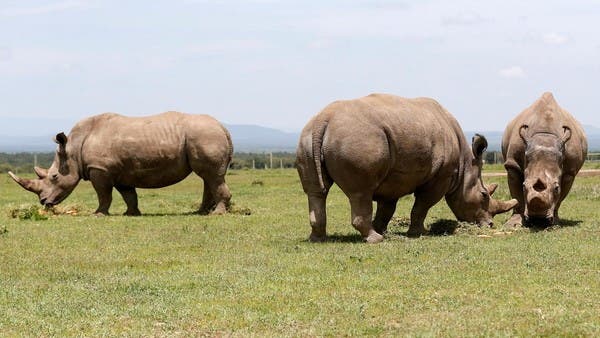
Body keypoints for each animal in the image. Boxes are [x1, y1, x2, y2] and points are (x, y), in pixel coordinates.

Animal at [10, 112, 234, 215]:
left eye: (54, 176)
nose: (43, 202)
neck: (73, 148)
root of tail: (223, 128)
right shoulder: (118, 172)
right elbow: (128, 195)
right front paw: (131, 214)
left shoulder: (99, 168)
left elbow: (103, 194)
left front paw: (98, 214)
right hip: (205, 135)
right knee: (208, 176)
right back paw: (201, 212)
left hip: (205, 135)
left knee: (212, 176)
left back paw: (216, 214)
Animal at [296, 93, 516, 243]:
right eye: (484, 195)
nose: (490, 225)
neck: (464, 165)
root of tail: (324, 119)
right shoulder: (441, 177)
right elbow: (422, 206)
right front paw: (418, 233)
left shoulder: (393, 180)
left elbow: (387, 208)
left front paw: (383, 229)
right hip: (358, 138)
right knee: (361, 192)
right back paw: (375, 240)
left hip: (308, 136)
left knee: (316, 191)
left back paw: (318, 239)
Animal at [502, 92, 584, 227]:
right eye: (524, 186)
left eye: (556, 188)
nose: (538, 220)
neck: (545, 136)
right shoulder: (512, 164)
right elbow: (517, 196)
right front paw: (513, 224)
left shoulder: (570, 171)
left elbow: (560, 196)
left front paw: (555, 222)